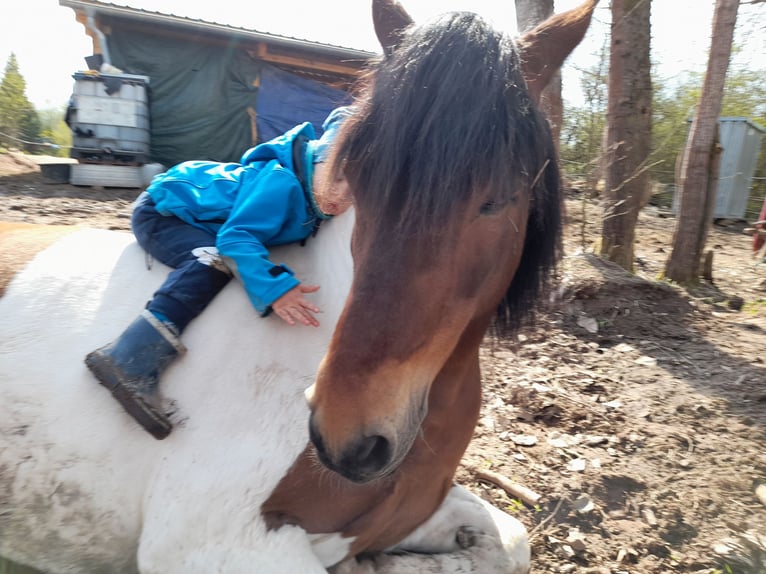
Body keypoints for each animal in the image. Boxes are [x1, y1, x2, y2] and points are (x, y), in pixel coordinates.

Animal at [0, 1, 600, 572]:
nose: (345, 435)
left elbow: (511, 542)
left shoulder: (404, 512)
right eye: (357, 181)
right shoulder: (205, 546)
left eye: (496, 199)